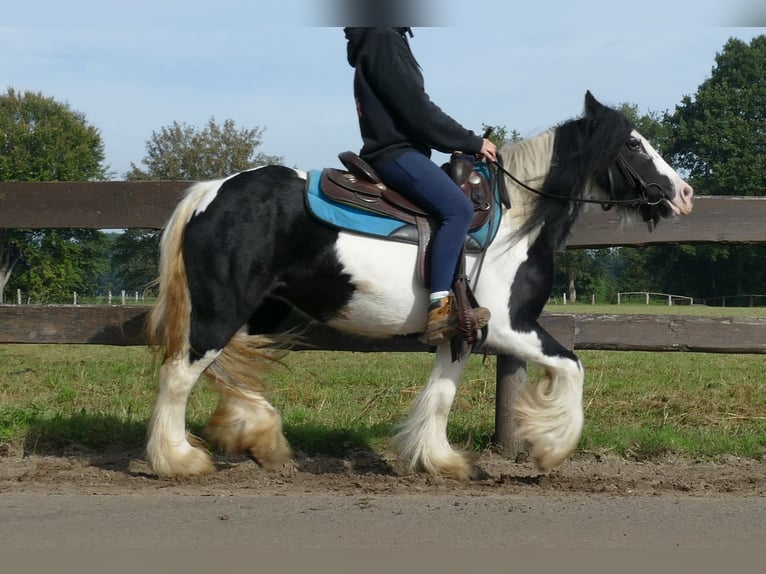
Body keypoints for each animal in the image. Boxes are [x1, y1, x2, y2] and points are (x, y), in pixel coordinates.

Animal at [144, 93, 696, 482]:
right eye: (634, 144)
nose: (683, 192)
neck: (515, 219)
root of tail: (210, 193)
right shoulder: (510, 328)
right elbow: (572, 366)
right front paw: (550, 446)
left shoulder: (464, 329)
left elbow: (441, 394)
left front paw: (440, 460)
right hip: (223, 308)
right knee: (180, 374)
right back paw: (178, 459)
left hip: (261, 309)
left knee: (228, 368)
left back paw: (257, 435)